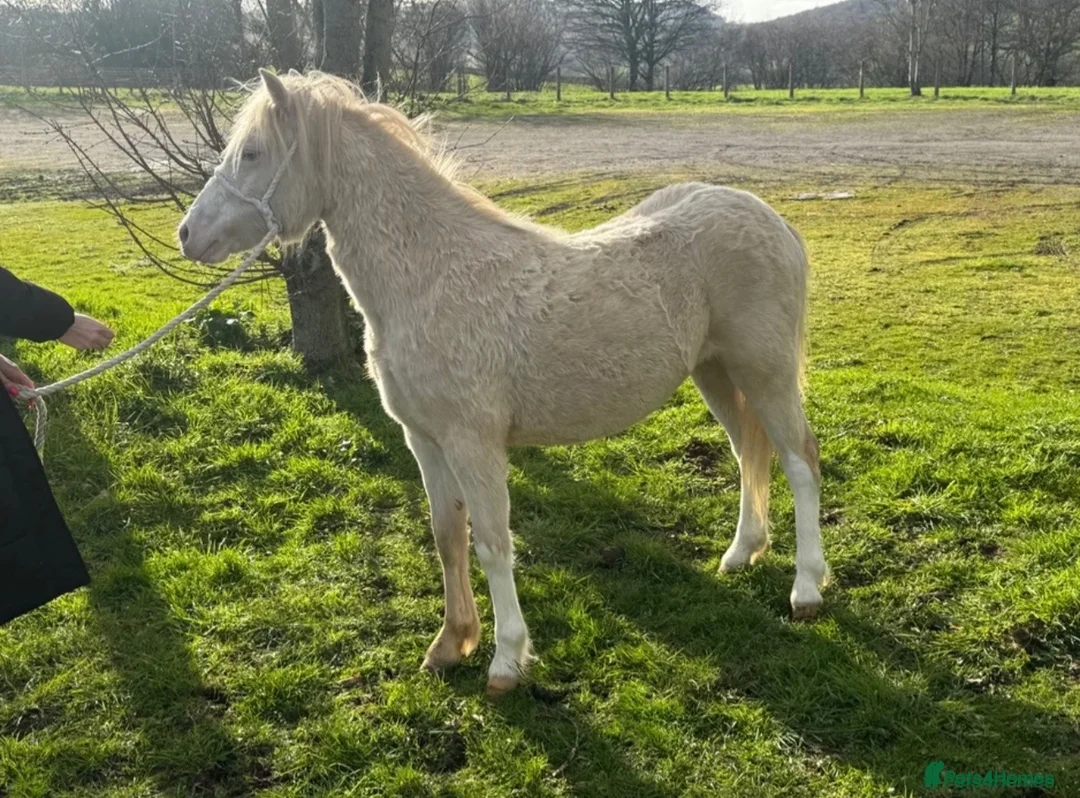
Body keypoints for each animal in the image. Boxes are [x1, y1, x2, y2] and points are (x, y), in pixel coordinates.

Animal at [178, 69, 829, 695]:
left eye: (254, 153)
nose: (188, 233)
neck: (431, 277)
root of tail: (773, 220)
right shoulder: (425, 440)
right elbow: (448, 536)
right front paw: (449, 645)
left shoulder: (474, 442)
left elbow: (492, 543)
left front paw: (506, 662)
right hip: (715, 372)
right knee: (749, 451)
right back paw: (741, 554)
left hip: (765, 372)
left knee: (799, 460)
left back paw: (806, 590)